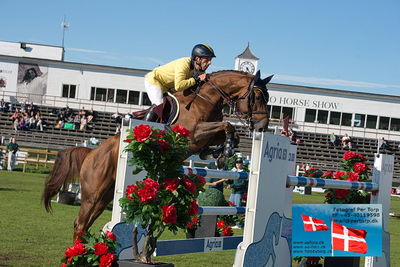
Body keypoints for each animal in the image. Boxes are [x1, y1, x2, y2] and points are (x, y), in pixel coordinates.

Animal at [43, 69, 272, 237]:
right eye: (257, 96)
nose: (262, 127)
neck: (204, 99)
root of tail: (91, 154)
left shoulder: (204, 138)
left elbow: (226, 132)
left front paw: (222, 152)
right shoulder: (194, 135)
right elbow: (227, 125)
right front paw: (226, 150)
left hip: (105, 196)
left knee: (85, 224)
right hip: (93, 193)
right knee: (80, 223)